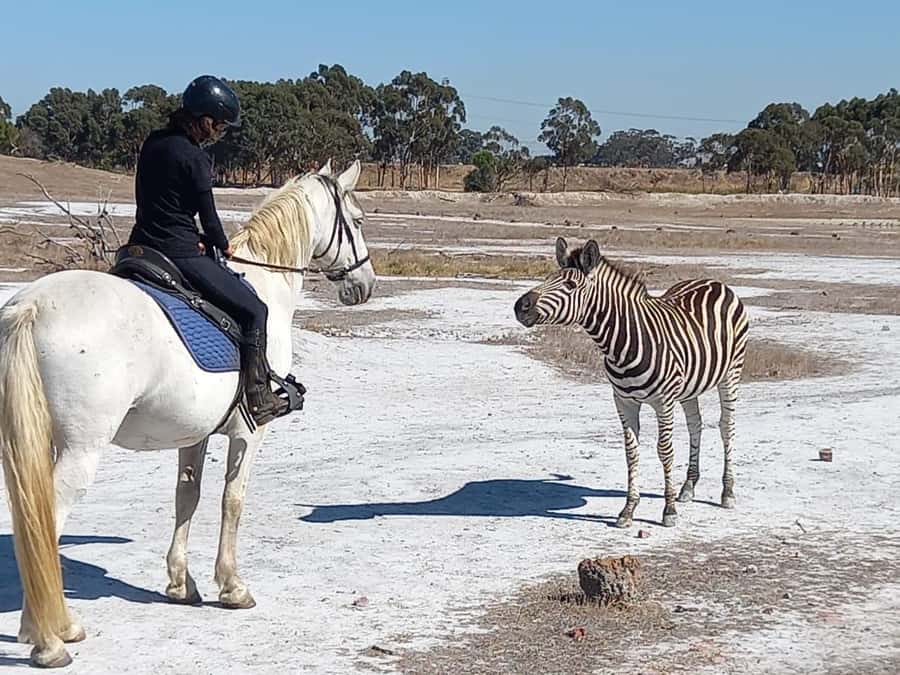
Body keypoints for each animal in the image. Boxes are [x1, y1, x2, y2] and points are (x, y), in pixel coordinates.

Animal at [0, 159, 376, 668]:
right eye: (356, 220)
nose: (364, 286)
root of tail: (32, 306)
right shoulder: (248, 434)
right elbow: (232, 501)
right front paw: (233, 587)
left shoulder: (194, 434)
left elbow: (187, 497)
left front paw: (181, 583)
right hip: (80, 451)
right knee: (44, 521)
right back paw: (51, 638)